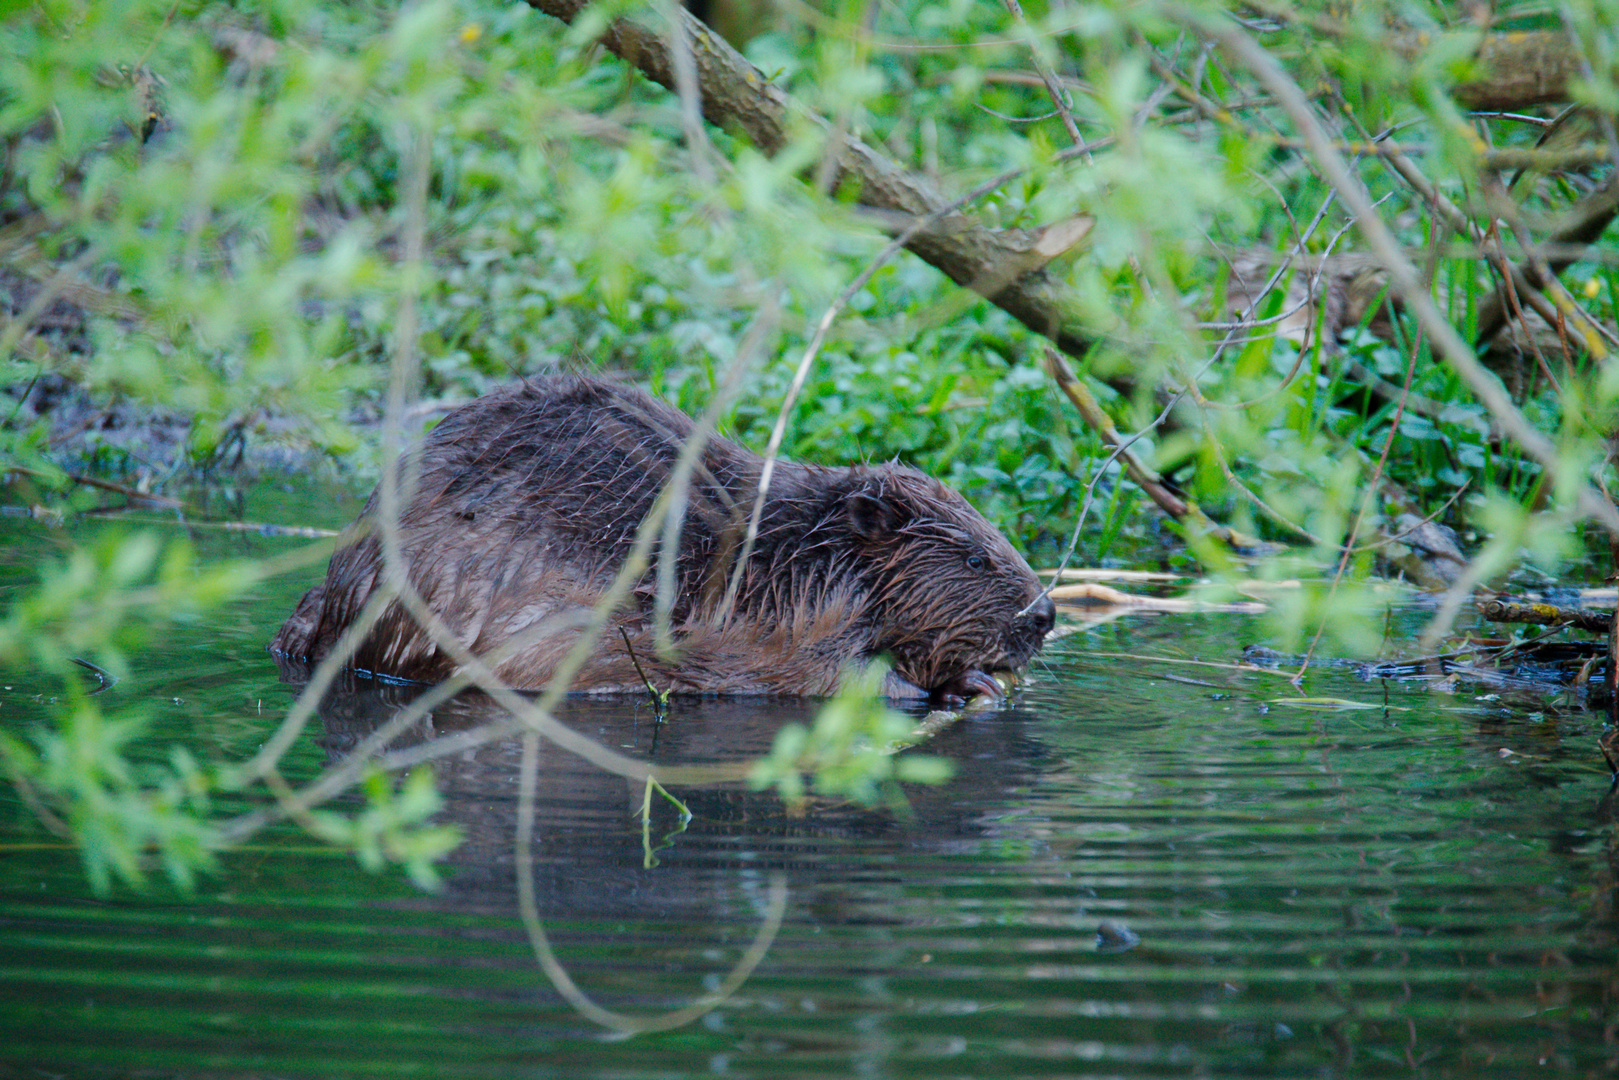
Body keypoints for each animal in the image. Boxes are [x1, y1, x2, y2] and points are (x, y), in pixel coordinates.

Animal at [271, 375, 1055, 705]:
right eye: (977, 556)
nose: (1046, 614)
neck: (793, 557)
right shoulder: (765, 628)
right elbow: (822, 677)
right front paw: (969, 685)